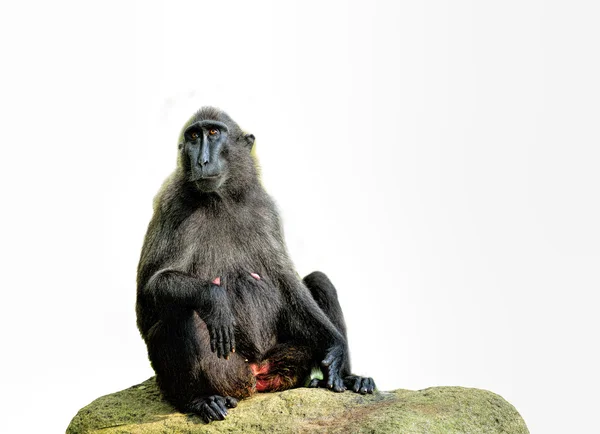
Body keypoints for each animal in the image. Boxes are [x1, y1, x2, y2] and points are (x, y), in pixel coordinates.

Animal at [136, 107, 376, 422]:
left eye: (213, 133)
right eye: (193, 136)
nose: (202, 161)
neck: (221, 198)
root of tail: (256, 374)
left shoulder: (264, 209)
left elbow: (286, 281)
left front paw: (336, 351)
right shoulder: (171, 202)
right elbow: (150, 293)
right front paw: (215, 299)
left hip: (286, 361)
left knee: (318, 281)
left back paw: (347, 378)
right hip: (228, 372)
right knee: (180, 310)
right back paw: (199, 400)